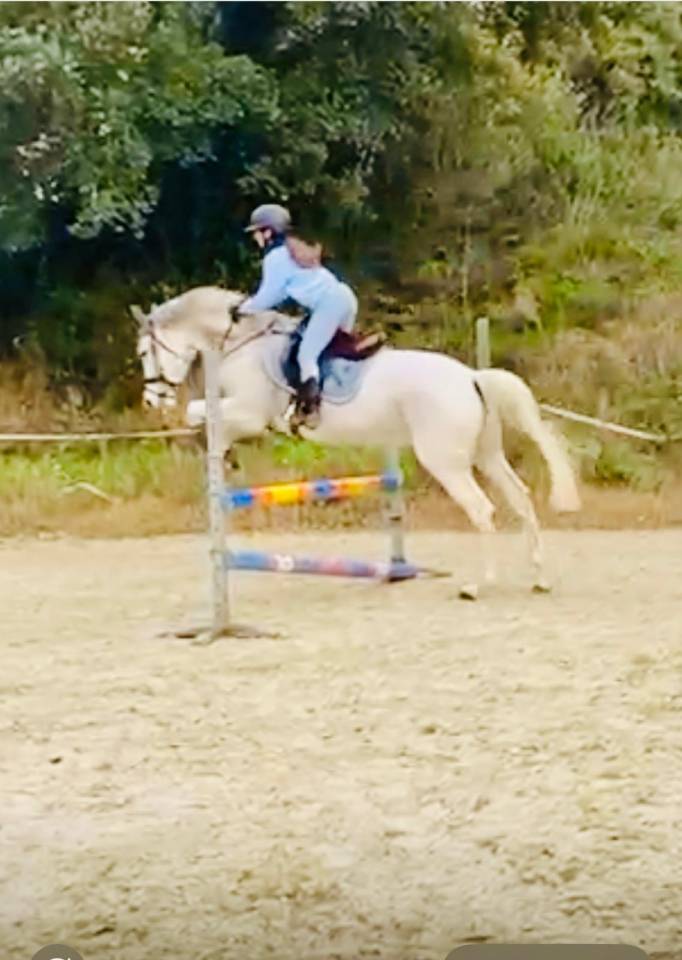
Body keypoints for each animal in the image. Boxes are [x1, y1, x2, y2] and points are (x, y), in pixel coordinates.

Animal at [133, 285, 580, 598]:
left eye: (143, 353)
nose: (151, 401)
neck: (241, 344)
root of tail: (472, 377)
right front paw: (218, 454)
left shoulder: (250, 413)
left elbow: (201, 414)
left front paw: (214, 446)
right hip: (485, 455)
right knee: (520, 499)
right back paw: (539, 578)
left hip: (446, 462)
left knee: (482, 510)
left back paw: (477, 585)